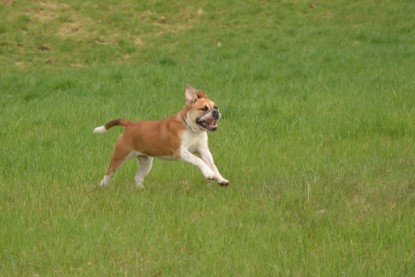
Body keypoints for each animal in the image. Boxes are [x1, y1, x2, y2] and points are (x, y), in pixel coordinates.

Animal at [93, 84, 231, 188]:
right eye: (204, 109)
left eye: (216, 107)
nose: (216, 112)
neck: (191, 129)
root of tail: (131, 125)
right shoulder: (181, 152)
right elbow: (199, 161)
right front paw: (208, 173)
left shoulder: (204, 151)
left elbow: (212, 164)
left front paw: (221, 179)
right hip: (120, 155)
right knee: (109, 171)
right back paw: (103, 186)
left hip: (146, 162)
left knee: (138, 177)